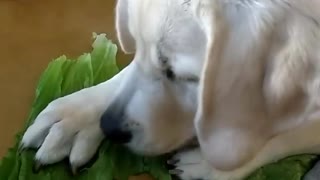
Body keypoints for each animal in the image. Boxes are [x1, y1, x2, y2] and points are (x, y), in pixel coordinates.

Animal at [21, 0, 320, 179]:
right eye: (137, 45)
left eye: (178, 74)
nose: (109, 127)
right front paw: (76, 115)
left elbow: (286, 135)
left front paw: (208, 165)